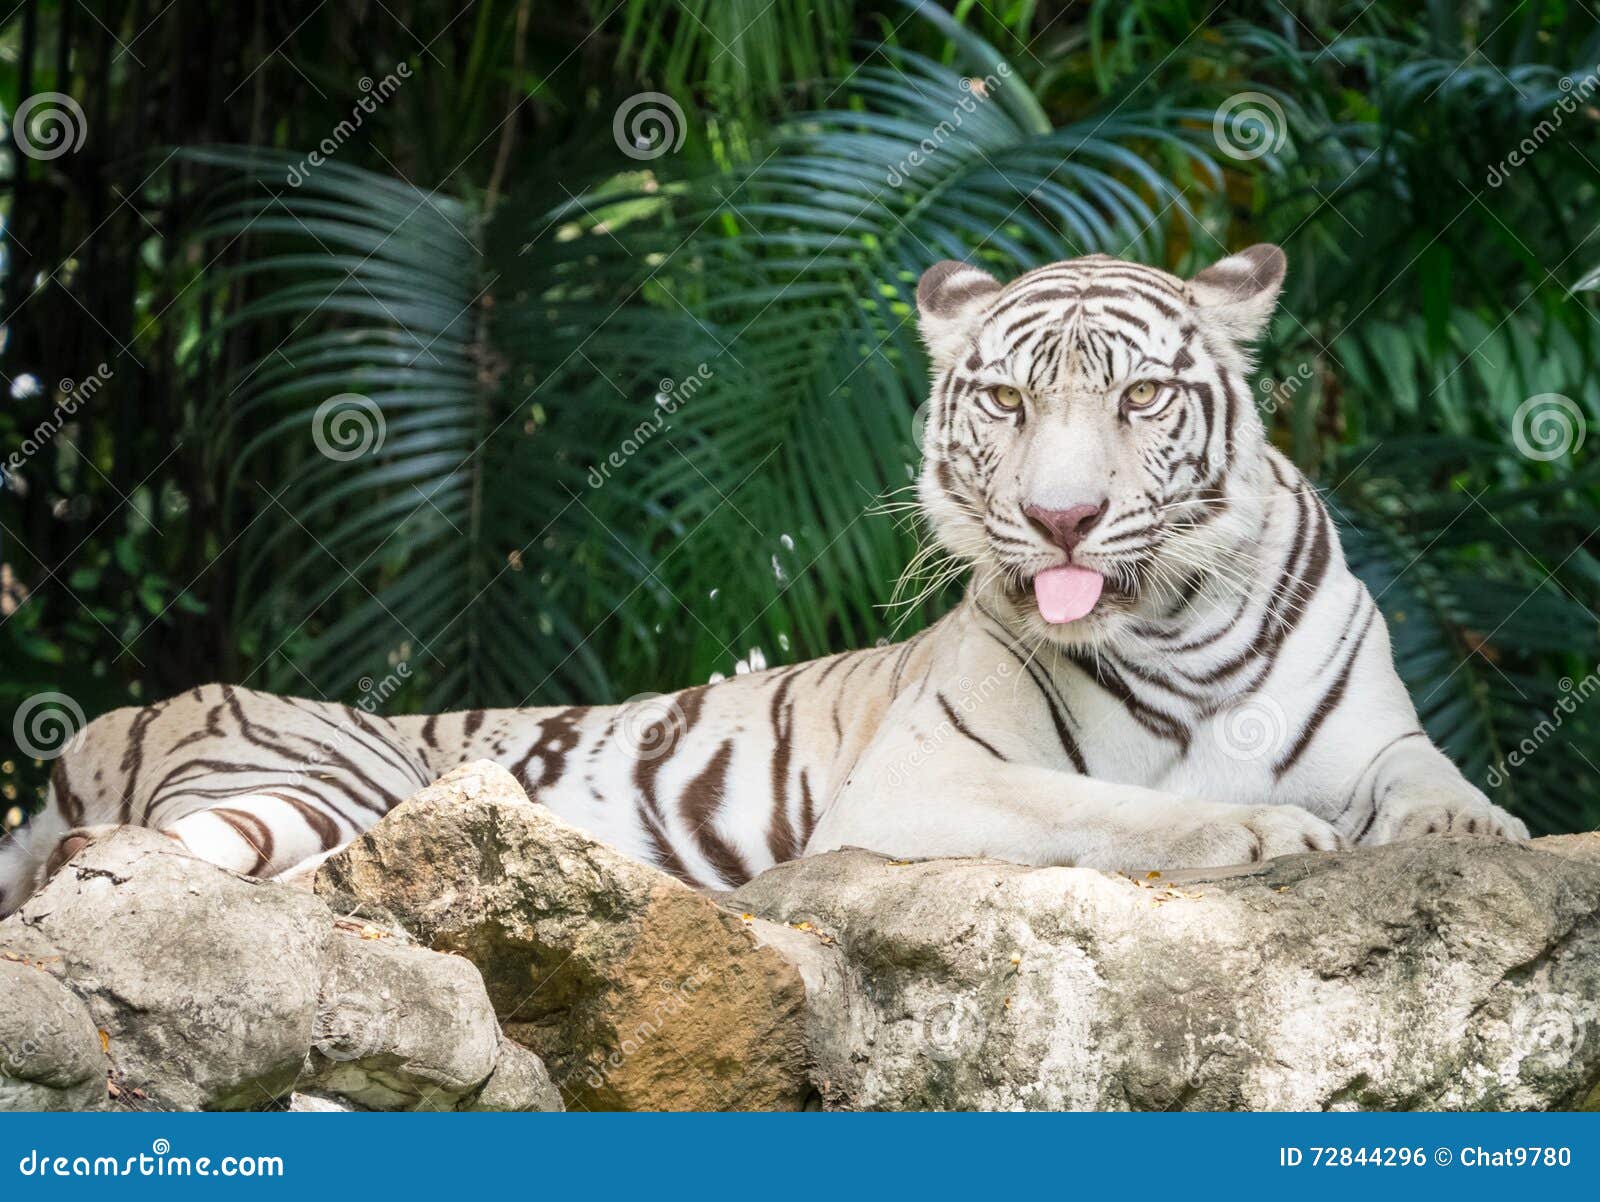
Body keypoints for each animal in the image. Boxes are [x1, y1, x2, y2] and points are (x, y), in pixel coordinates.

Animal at [0, 244, 1527, 917]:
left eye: (1143, 396)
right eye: (1006, 401)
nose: (1063, 518)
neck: (1180, 621)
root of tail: (94, 730)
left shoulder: (1375, 727)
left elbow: (1428, 775)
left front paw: (1475, 830)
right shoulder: (926, 774)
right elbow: (1106, 804)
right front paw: (1262, 832)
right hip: (311, 775)